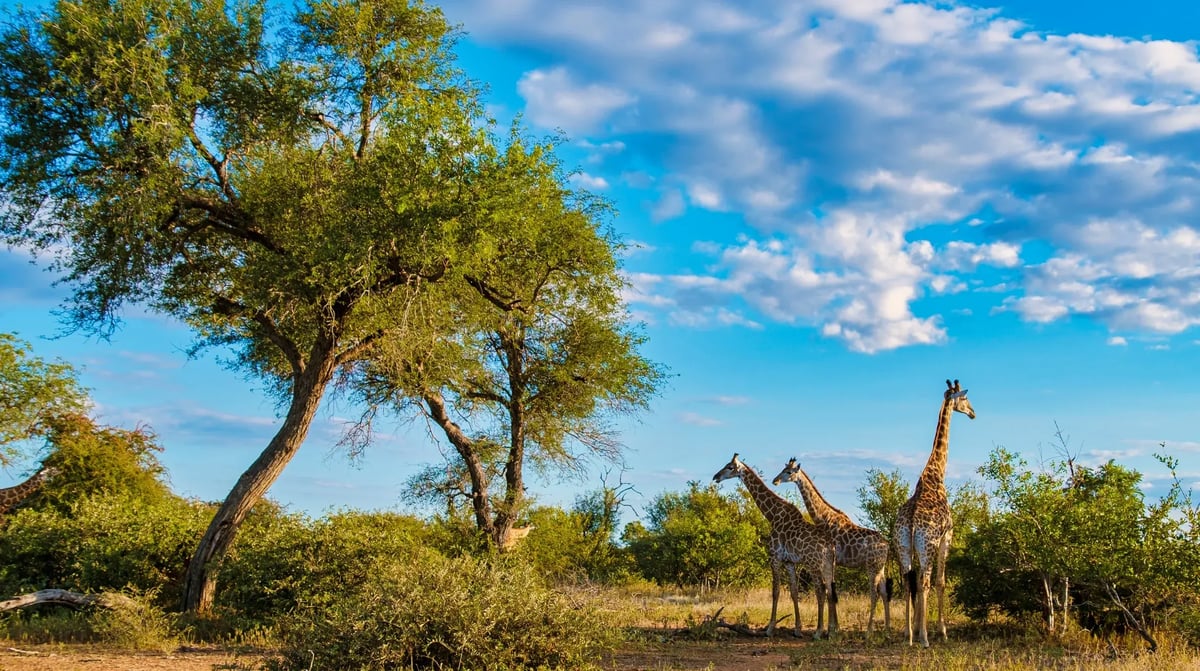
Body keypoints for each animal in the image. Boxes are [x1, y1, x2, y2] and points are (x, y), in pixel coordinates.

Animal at [710, 453, 835, 638]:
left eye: (730, 467)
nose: (715, 477)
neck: (772, 515)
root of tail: (830, 546)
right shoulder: (789, 562)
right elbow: (793, 592)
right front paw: (797, 629)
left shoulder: (774, 557)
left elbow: (775, 592)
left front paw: (769, 629)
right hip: (827, 565)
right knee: (830, 591)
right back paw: (831, 632)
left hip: (813, 564)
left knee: (820, 592)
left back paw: (819, 632)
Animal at [768, 458, 892, 638]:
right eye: (782, 469)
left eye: (789, 472)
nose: (775, 480)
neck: (823, 518)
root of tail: (887, 545)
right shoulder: (833, 561)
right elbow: (831, 591)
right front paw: (833, 628)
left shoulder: (832, 559)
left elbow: (829, 591)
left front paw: (831, 629)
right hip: (880, 567)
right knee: (883, 592)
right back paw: (887, 630)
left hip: (872, 566)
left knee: (874, 594)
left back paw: (868, 632)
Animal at [902, 379, 974, 648]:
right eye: (964, 399)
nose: (973, 413)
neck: (935, 474)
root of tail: (912, 521)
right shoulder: (947, 536)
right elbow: (941, 582)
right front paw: (942, 631)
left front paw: (914, 628)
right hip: (928, 544)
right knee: (924, 581)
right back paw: (924, 638)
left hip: (903, 545)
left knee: (908, 580)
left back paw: (909, 635)